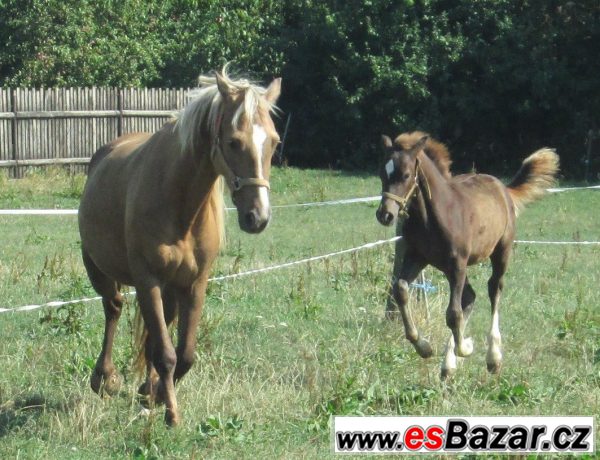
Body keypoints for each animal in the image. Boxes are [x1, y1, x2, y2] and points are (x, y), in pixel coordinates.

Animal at [78, 70, 282, 426]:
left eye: (274, 142)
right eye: (233, 142)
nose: (258, 216)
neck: (180, 204)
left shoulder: (194, 283)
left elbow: (183, 354)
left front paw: (158, 393)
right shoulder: (147, 281)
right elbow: (166, 353)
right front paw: (171, 413)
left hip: (169, 289)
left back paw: (147, 387)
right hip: (98, 268)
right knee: (113, 308)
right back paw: (105, 378)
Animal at [376, 132, 556, 378]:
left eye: (405, 175)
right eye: (382, 174)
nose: (385, 214)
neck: (433, 217)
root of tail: (502, 187)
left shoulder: (457, 264)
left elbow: (453, 313)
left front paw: (467, 347)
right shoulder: (418, 258)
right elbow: (401, 289)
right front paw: (424, 347)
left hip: (500, 253)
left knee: (494, 290)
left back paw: (493, 358)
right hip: (448, 267)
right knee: (470, 296)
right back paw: (448, 365)